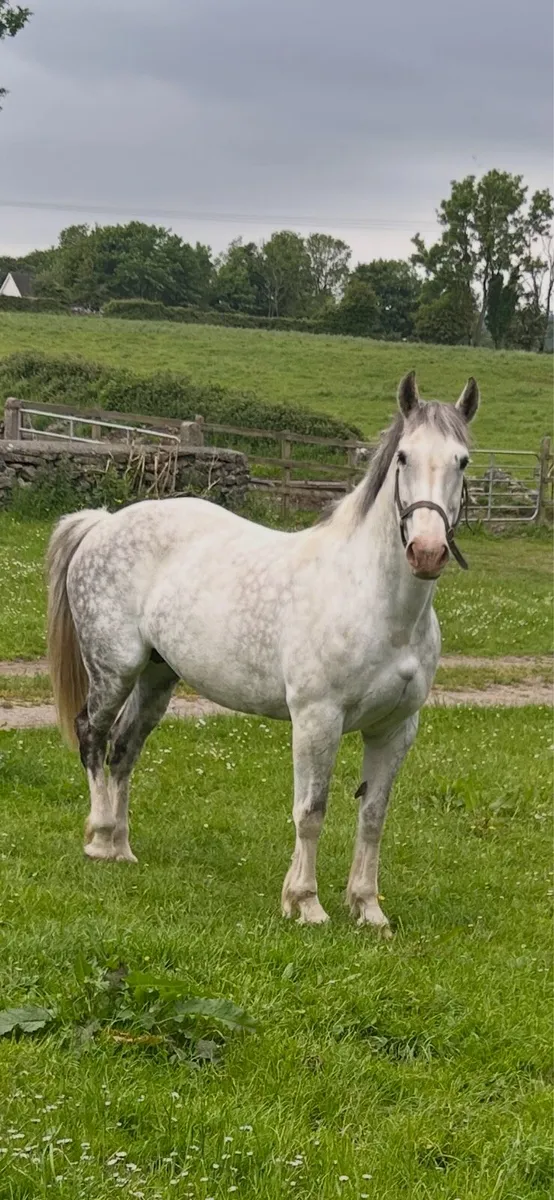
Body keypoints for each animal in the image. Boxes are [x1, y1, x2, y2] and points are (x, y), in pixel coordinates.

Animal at [46, 371, 479, 932]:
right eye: (403, 456)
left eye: (462, 460)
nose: (426, 552)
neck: (378, 603)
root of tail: (102, 523)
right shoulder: (318, 719)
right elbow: (311, 811)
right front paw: (305, 903)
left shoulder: (396, 728)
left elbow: (373, 816)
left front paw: (367, 907)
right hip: (114, 670)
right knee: (93, 737)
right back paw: (99, 839)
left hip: (158, 677)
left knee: (124, 748)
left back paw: (121, 848)